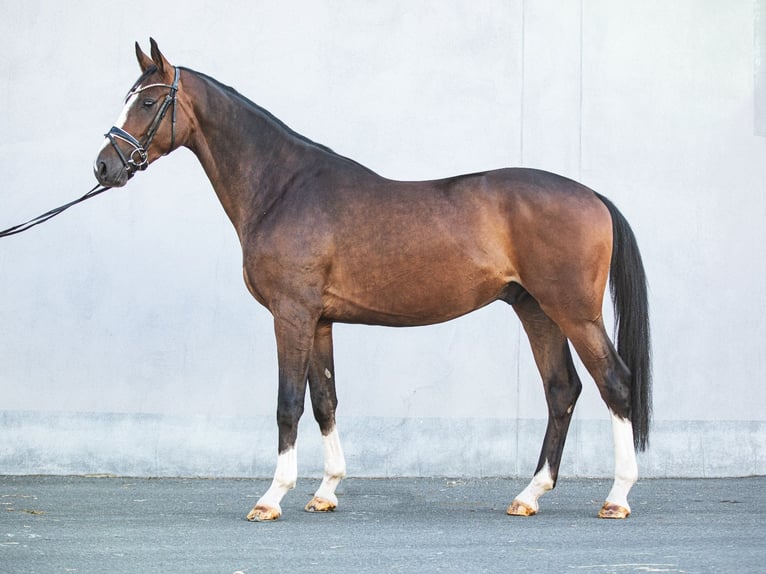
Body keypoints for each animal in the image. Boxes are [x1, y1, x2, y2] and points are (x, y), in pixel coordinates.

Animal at [93, 40, 652, 524]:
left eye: (147, 101)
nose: (104, 167)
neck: (283, 187)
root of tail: (592, 196)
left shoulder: (291, 315)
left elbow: (288, 403)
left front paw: (272, 497)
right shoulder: (319, 321)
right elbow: (325, 401)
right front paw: (325, 492)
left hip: (573, 312)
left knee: (615, 382)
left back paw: (617, 497)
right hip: (535, 309)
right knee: (561, 389)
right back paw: (529, 495)